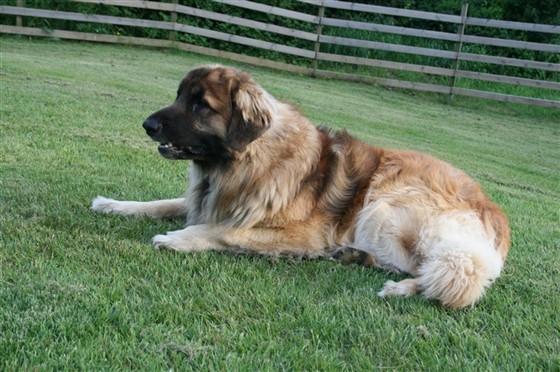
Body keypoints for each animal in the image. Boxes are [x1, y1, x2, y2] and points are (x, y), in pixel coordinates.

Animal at [93, 64, 512, 308]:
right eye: (179, 96)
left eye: (201, 105)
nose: (147, 125)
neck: (248, 160)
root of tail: (498, 218)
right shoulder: (211, 200)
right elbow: (163, 203)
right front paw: (112, 204)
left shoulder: (302, 233)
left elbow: (223, 231)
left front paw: (178, 238)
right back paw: (357, 257)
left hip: (385, 207)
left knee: (453, 276)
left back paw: (400, 287)